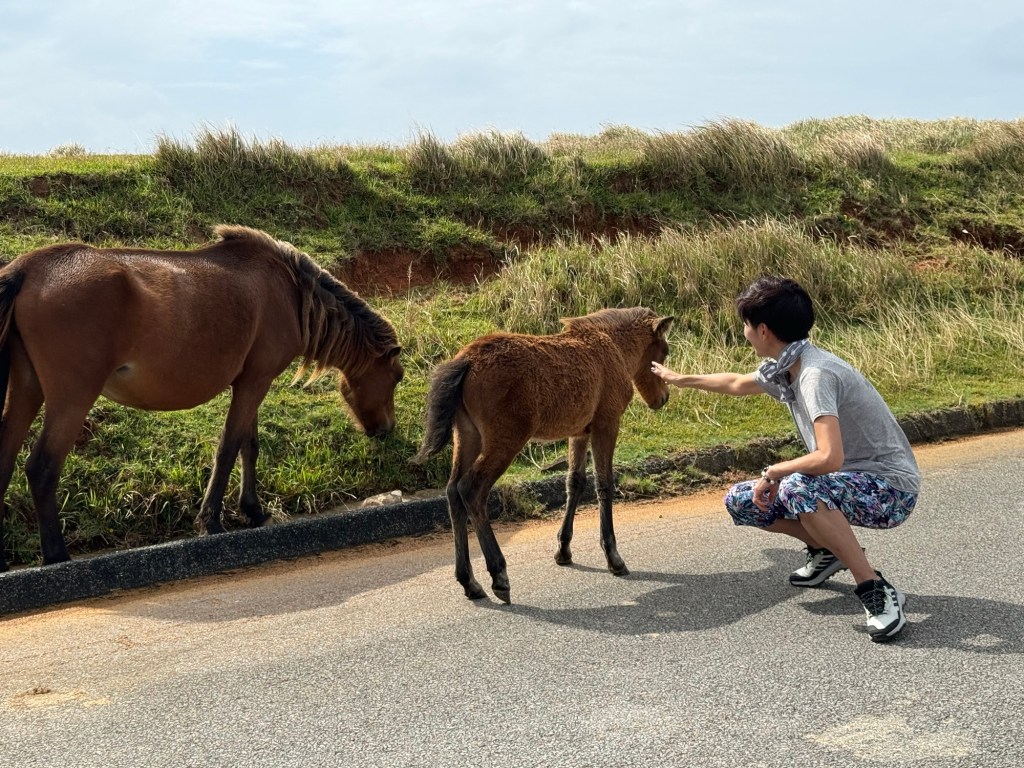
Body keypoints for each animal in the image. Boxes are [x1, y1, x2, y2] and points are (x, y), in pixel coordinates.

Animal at [0, 225, 403, 570]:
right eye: (396, 377)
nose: (386, 429)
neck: (289, 292)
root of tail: (29, 267)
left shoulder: (251, 382)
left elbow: (248, 445)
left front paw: (253, 510)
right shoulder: (255, 383)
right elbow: (229, 445)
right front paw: (211, 520)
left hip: (26, 389)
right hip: (72, 397)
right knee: (42, 468)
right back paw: (56, 555)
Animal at [413, 307, 673, 604]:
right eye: (663, 352)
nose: (663, 398)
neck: (612, 346)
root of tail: (466, 360)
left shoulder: (579, 432)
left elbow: (575, 483)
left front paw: (564, 551)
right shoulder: (606, 424)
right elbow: (604, 484)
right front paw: (614, 558)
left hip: (467, 436)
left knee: (452, 491)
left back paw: (470, 583)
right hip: (505, 440)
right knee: (471, 489)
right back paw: (499, 575)